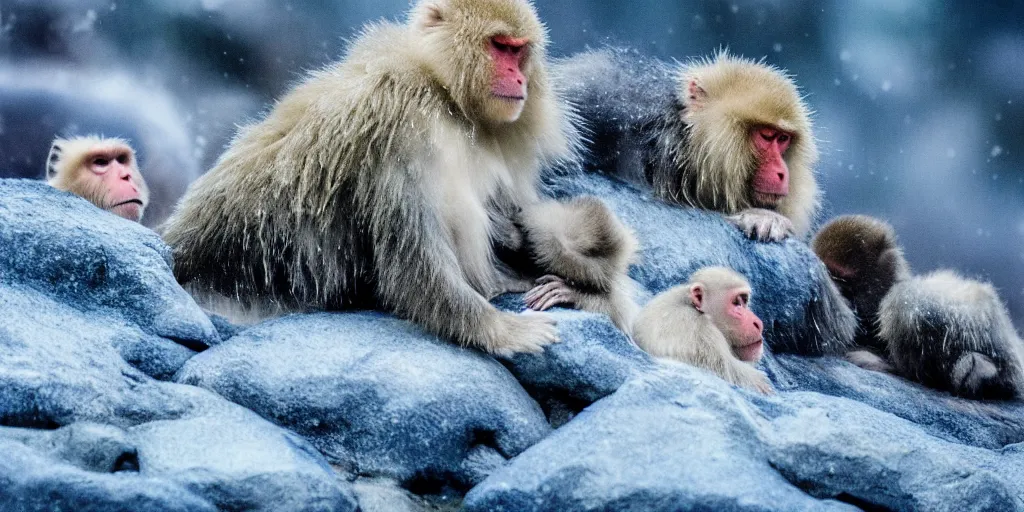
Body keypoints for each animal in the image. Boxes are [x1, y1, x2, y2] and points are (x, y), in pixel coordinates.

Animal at [161, 0, 638, 356]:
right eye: (500, 47)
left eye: (520, 51)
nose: (519, 77)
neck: (444, 94)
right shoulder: (398, 116)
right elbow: (411, 255)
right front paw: (496, 329)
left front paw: (579, 290)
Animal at [552, 49, 815, 241]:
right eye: (767, 136)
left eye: (783, 139)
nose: (782, 173)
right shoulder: (611, 100)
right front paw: (762, 217)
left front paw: (767, 218)